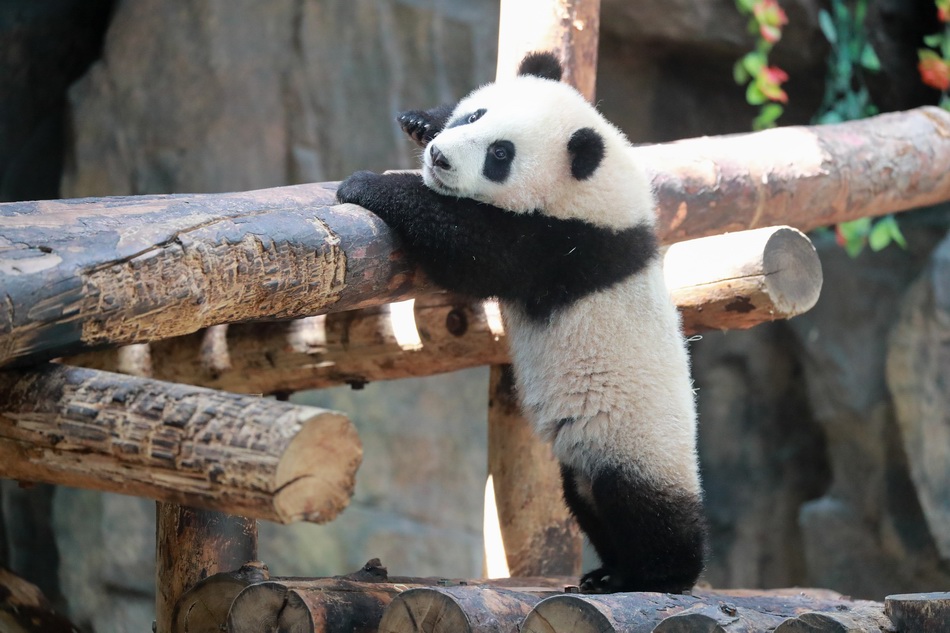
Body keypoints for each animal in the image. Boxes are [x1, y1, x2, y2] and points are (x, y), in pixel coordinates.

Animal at [336, 49, 708, 592]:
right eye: (475, 116)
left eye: (500, 155)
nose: (440, 157)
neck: (593, 184)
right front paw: (422, 121)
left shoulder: (564, 246)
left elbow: (471, 248)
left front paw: (367, 183)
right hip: (582, 467)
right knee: (587, 501)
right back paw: (610, 571)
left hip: (637, 444)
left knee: (646, 512)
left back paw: (657, 574)